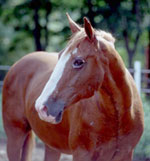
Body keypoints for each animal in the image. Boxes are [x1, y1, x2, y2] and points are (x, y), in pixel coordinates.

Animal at [1, 14, 144, 160]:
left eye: (78, 62)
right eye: (59, 56)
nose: (41, 107)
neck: (117, 117)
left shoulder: (125, 154)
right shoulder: (82, 154)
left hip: (51, 146)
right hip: (15, 136)